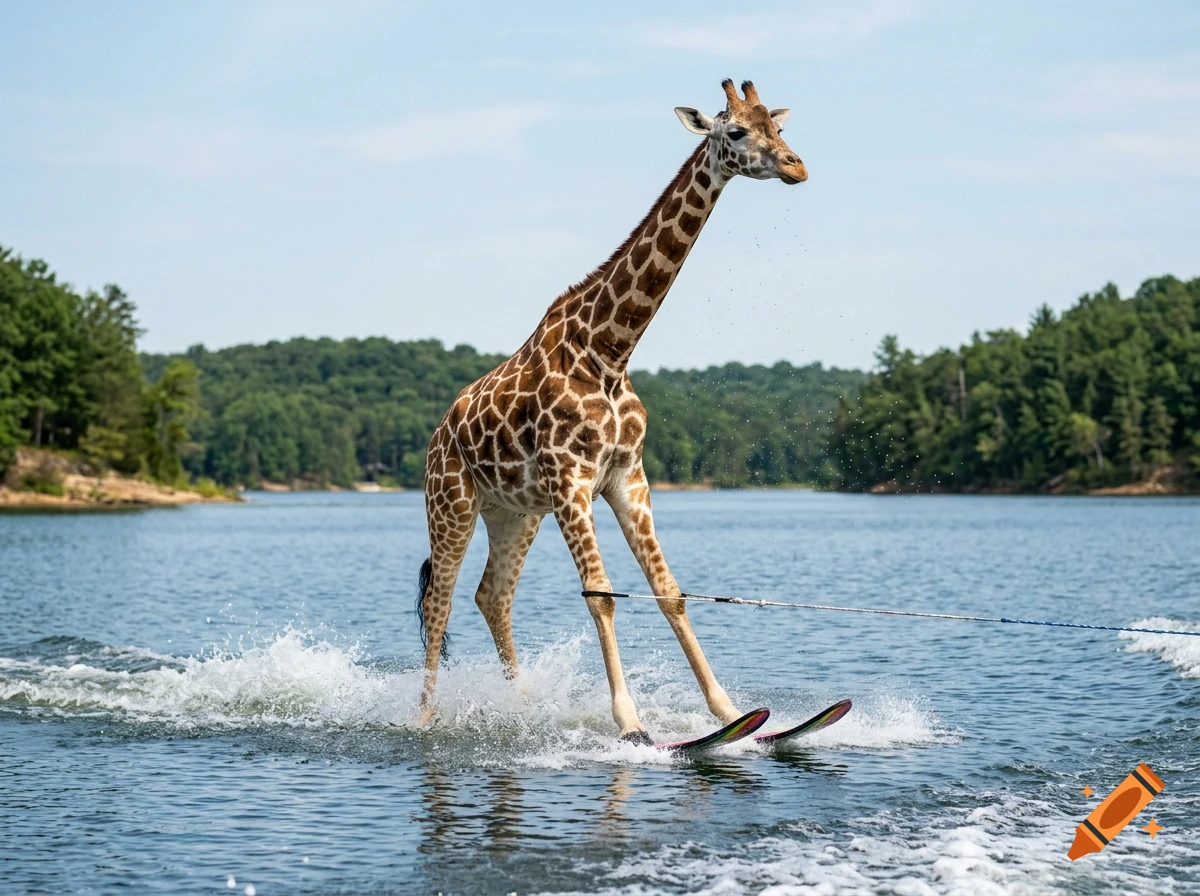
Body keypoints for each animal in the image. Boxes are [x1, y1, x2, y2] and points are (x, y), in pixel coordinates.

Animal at [415, 79, 806, 743]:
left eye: (776, 126)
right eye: (735, 131)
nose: (795, 165)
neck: (610, 350)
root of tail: (437, 436)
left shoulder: (626, 474)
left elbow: (669, 590)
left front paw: (731, 714)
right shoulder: (572, 478)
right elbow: (600, 594)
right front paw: (629, 724)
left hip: (514, 513)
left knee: (491, 596)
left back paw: (522, 710)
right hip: (453, 504)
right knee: (439, 604)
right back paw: (419, 719)